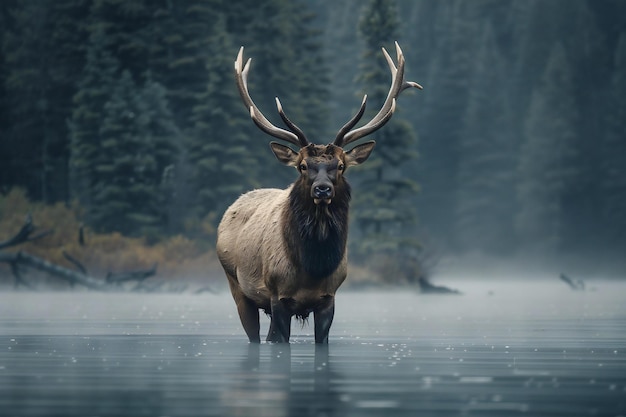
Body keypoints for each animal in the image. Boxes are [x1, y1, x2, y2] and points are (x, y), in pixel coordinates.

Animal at [216, 42, 420, 342]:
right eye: (302, 166)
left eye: (341, 166)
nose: (322, 189)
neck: (312, 268)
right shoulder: (278, 295)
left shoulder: (329, 298)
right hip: (237, 286)